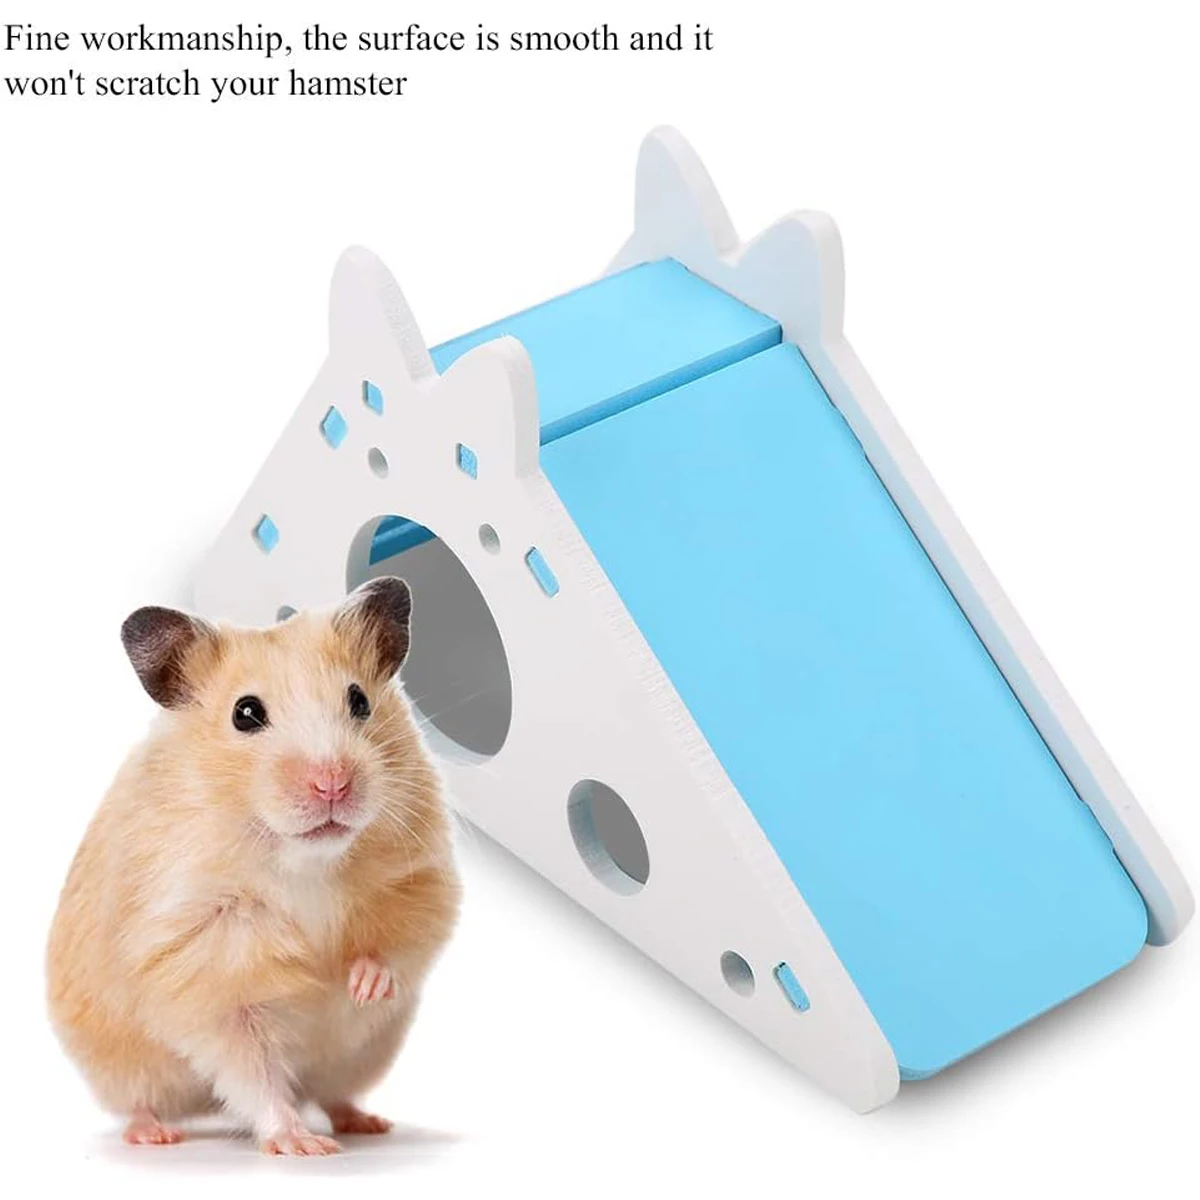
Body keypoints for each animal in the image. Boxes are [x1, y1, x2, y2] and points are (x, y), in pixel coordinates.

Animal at [46, 577, 461, 1156]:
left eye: (359, 700)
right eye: (245, 713)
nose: (333, 783)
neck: (303, 860)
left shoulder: (421, 876)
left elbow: (399, 942)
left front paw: (360, 985)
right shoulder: (206, 968)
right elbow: (253, 1068)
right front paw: (301, 1146)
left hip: (360, 1057)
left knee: (333, 1093)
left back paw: (367, 1122)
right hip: (118, 1064)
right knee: (143, 1101)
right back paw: (155, 1134)